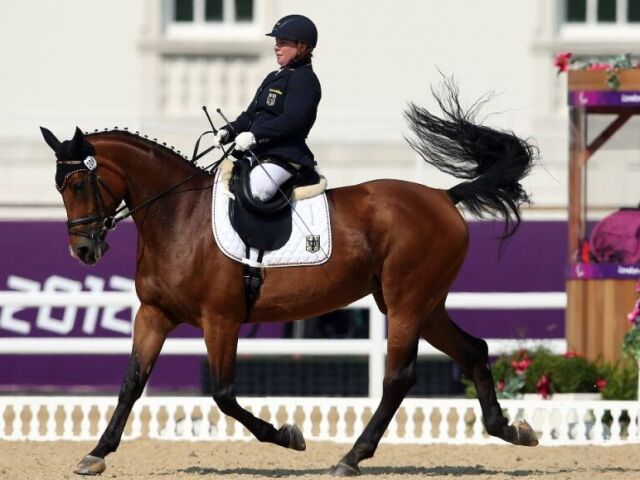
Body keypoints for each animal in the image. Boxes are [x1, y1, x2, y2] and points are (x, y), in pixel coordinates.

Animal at [40, 83, 536, 476]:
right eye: (59, 187)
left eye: (80, 184)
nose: (84, 251)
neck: (177, 216)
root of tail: (443, 196)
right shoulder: (154, 314)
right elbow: (132, 383)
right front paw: (97, 453)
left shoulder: (221, 320)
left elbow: (223, 395)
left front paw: (288, 435)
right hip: (424, 305)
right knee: (474, 350)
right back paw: (512, 430)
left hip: (406, 304)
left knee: (399, 377)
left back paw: (351, 458)